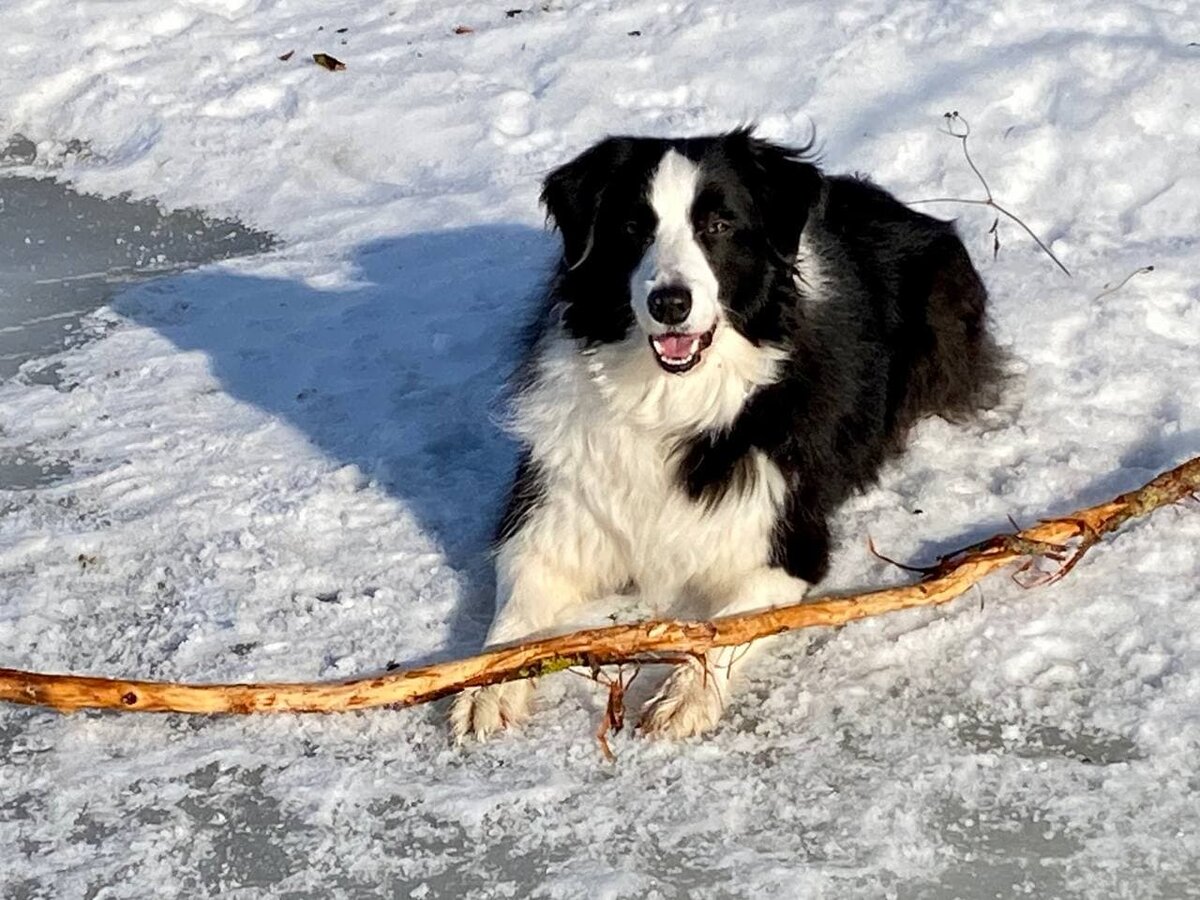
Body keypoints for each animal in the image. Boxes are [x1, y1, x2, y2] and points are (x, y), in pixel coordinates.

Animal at [451, 130, 1003, 744]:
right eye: (633, 227)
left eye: (717, 226)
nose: (670, 303)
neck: (665, 402)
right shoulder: (551, 518)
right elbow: (517, 615)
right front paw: (489, 689)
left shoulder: (783, 545)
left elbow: (725, 628)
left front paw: (686, 694)